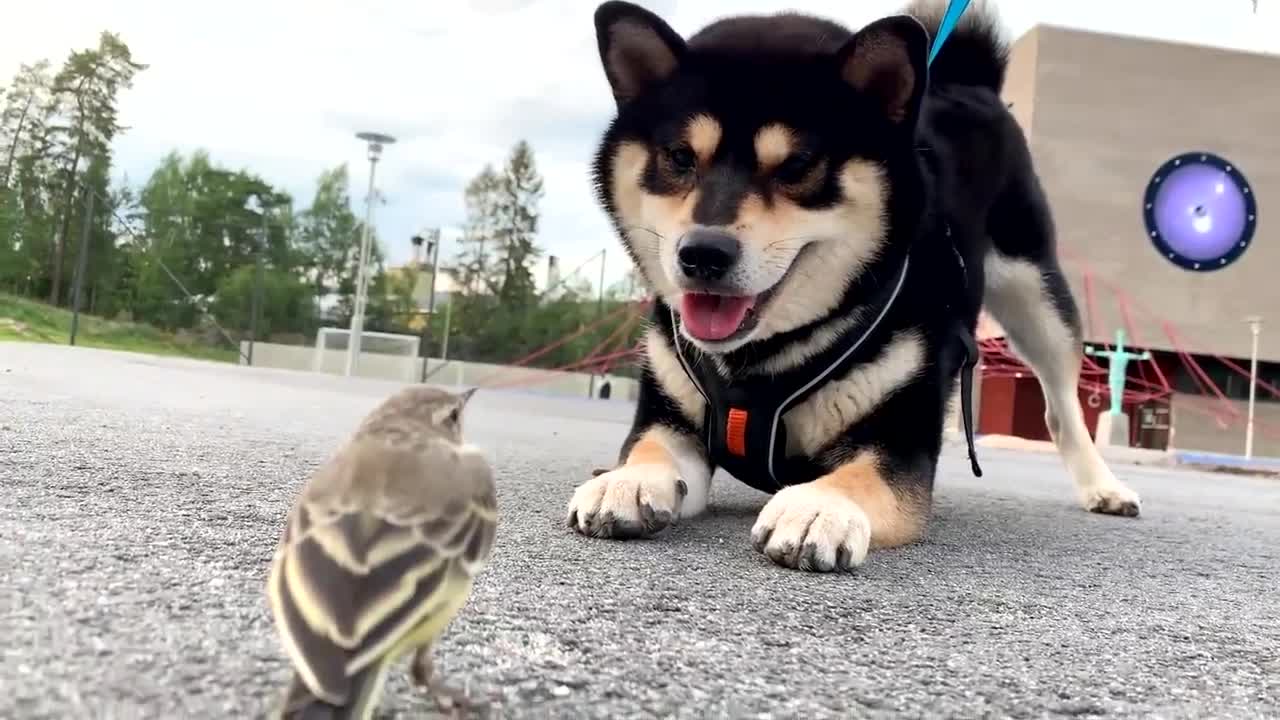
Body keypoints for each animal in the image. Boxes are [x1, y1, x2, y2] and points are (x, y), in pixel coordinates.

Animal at [565, 0, 1146, 571]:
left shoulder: (899, 437)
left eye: (798, 164)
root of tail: (966, 80)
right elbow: (651, 448)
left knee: (1060, 404)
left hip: (1037, 294)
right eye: (680, 157)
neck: (760, 359)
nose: (703, 253)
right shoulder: (671, 413)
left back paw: (1105, 487)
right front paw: (627, 479)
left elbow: (861, 474)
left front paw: (819, 506)